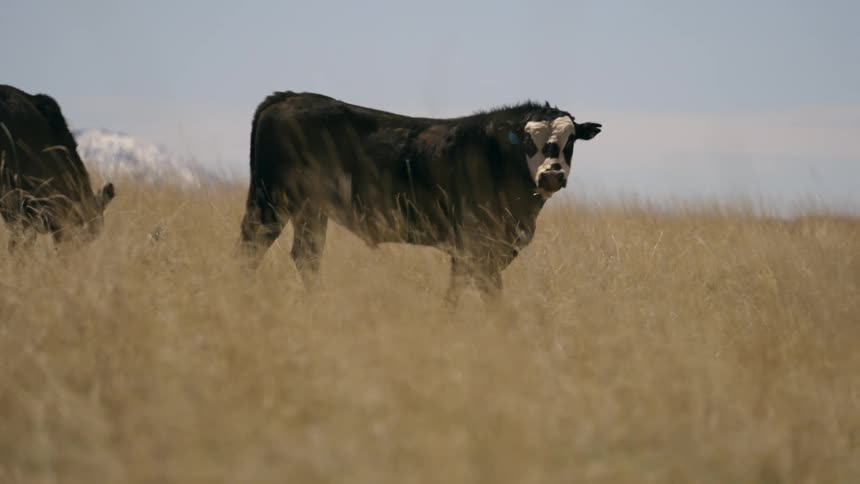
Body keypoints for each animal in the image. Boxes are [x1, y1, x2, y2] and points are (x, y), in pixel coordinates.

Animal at [237, 91, 601, 303]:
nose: (552, 175)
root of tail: (288, 97)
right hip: (271, 199)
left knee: (307, 256)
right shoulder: (476, 245)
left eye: (570, 140)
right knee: (251, 247)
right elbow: (486, 294)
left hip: (310, 208)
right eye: (528, 140)